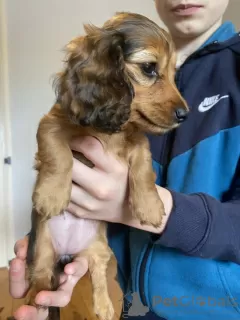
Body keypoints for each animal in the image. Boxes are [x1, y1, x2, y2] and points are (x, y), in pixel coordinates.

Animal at [22, 11, 188, 320]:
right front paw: (51, 194)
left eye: (174, 72)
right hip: (41, 248)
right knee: (40, 276)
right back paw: (33, 301)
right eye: (149, 68)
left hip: (99, 250)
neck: (111, 127)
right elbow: (57, 154)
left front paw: (150, 205)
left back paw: (104, 307)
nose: (185, 114)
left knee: (98, 276)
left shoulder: (138, 141)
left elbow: (144, 167)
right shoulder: (51, 123)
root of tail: (68, 253)